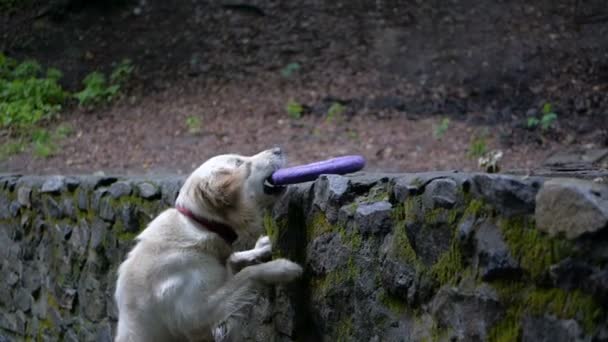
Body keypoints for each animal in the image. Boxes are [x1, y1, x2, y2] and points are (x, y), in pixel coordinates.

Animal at [113, 149, 302, 342]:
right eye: (239, 162)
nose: (278, 149)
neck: (200, 224)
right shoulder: (195, 315)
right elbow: (247, 274)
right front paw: (283, 268)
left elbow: (236, 259)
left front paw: (262, 247)